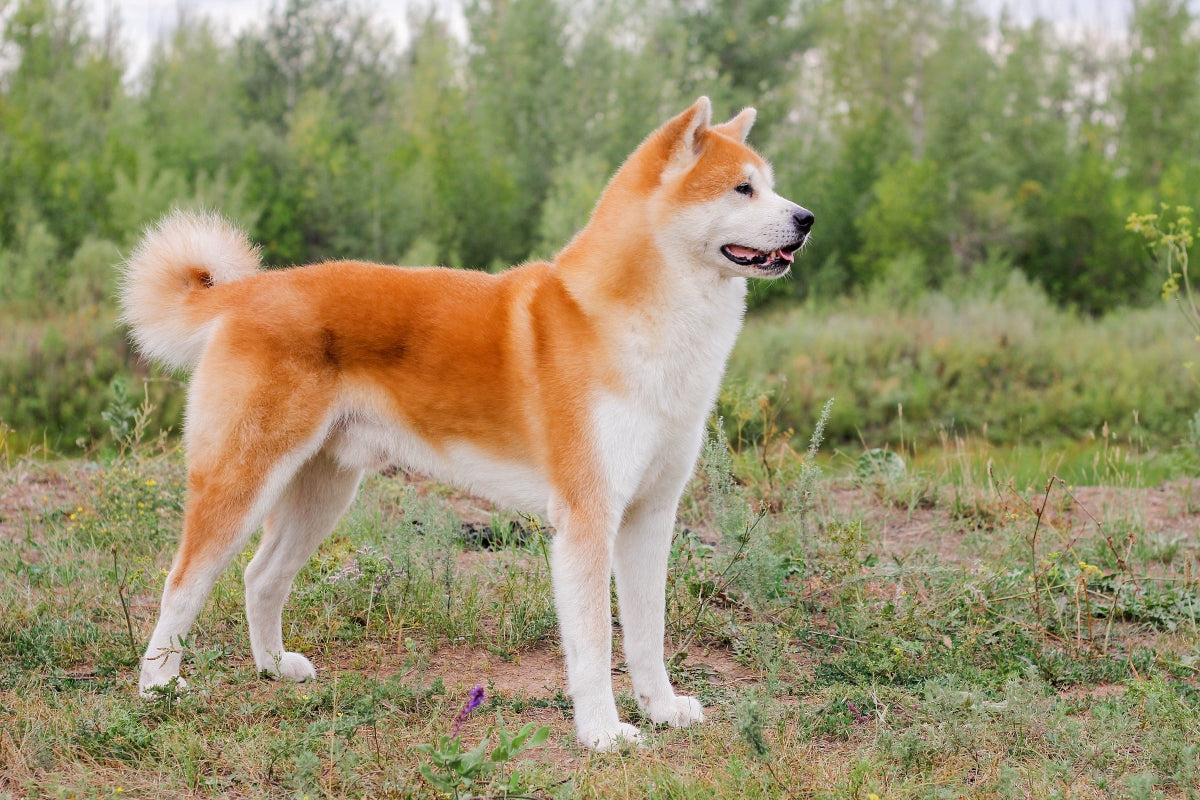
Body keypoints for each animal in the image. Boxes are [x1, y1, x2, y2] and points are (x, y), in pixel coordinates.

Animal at [121, 97, 811, 753]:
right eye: (742, 189)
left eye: (770, 184)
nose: (806, 219)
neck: (635, 323)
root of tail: (247, 293)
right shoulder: (588, 521)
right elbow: (593, 649)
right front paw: (602, 735)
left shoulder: (650, 515)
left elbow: (647, 636)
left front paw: (663, 711)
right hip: (242, 482)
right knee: (181, 583)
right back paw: (159, 688)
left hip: (322, 492)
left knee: (261, 577)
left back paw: (272, 669)